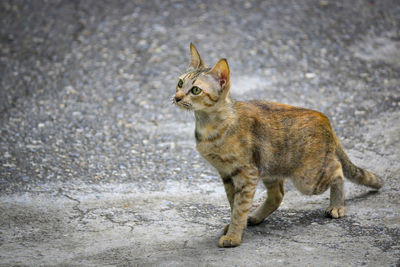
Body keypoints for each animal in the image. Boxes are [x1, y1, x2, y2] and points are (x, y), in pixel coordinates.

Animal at [173, 43, 384, 248]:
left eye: (196, 90)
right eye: (180, 83)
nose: (176, 97)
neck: (208, 125)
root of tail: (324, 118)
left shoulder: (246, 173)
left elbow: (239, 207)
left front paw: (234, 235)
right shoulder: (227, 174)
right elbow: (234, 204)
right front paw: (236, 226)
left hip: (307, 180)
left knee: (337, 169)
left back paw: (337, 205)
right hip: (271, 168)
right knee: (278, 195)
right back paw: (255, 217)